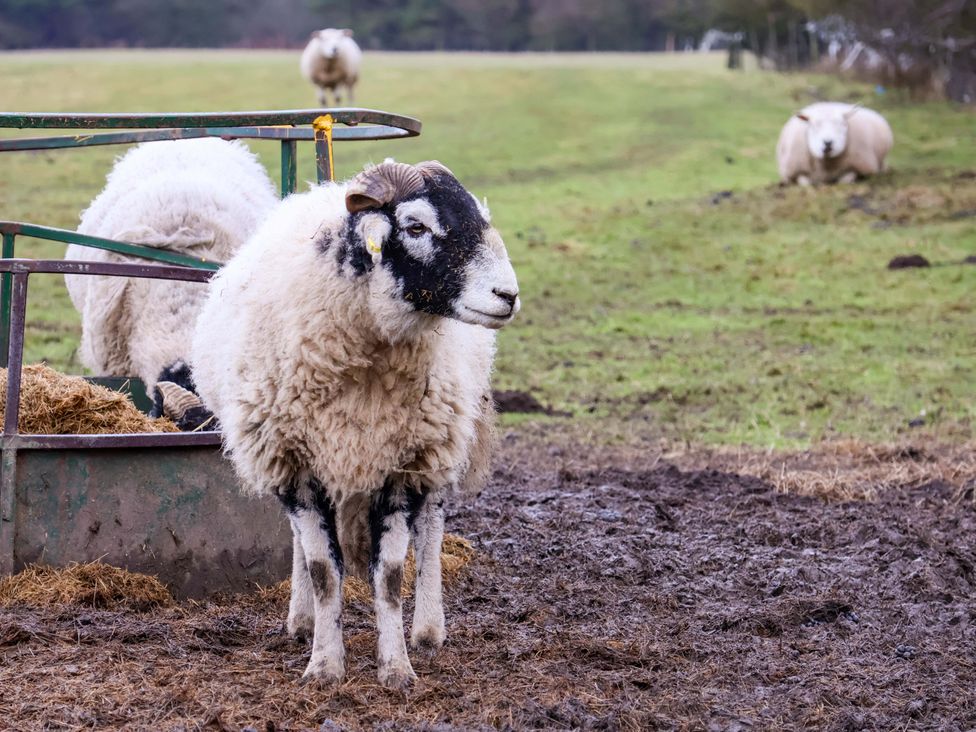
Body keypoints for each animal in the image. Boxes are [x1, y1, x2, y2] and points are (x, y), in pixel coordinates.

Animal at [187, 159, 519, 689]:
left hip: (440, 443)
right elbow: (324, 570)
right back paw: (302, 619)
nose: (507, 295)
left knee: (432, 528)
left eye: (478, 216)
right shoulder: (295, 464)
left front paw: (397, 667)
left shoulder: (405, 467)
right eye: (415, 226)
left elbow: (390, 575)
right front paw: (324, 665)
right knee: (301, 543)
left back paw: (428, 628)